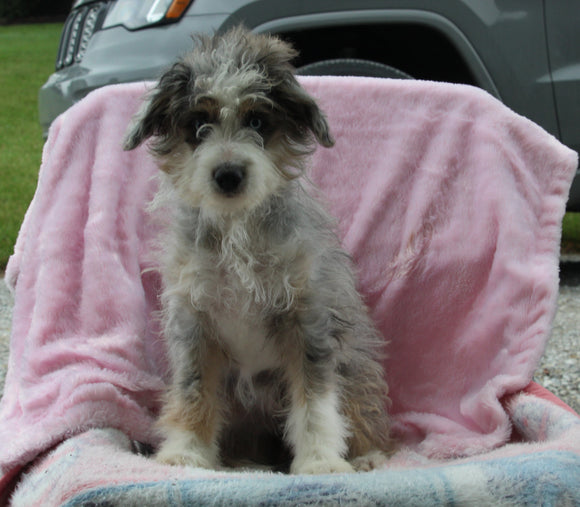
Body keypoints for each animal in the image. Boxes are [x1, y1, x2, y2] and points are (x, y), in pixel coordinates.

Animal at [124, 25, 392, 474]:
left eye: (257, 120)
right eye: (198, 122)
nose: (228, 174)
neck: (237, 230)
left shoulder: (308, 320)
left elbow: (315, 400)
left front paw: (320, 460)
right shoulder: (193, 324)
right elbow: (193, 392)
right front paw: (187, 453)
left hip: (355, 367)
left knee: (361, 409)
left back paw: (368, 456)